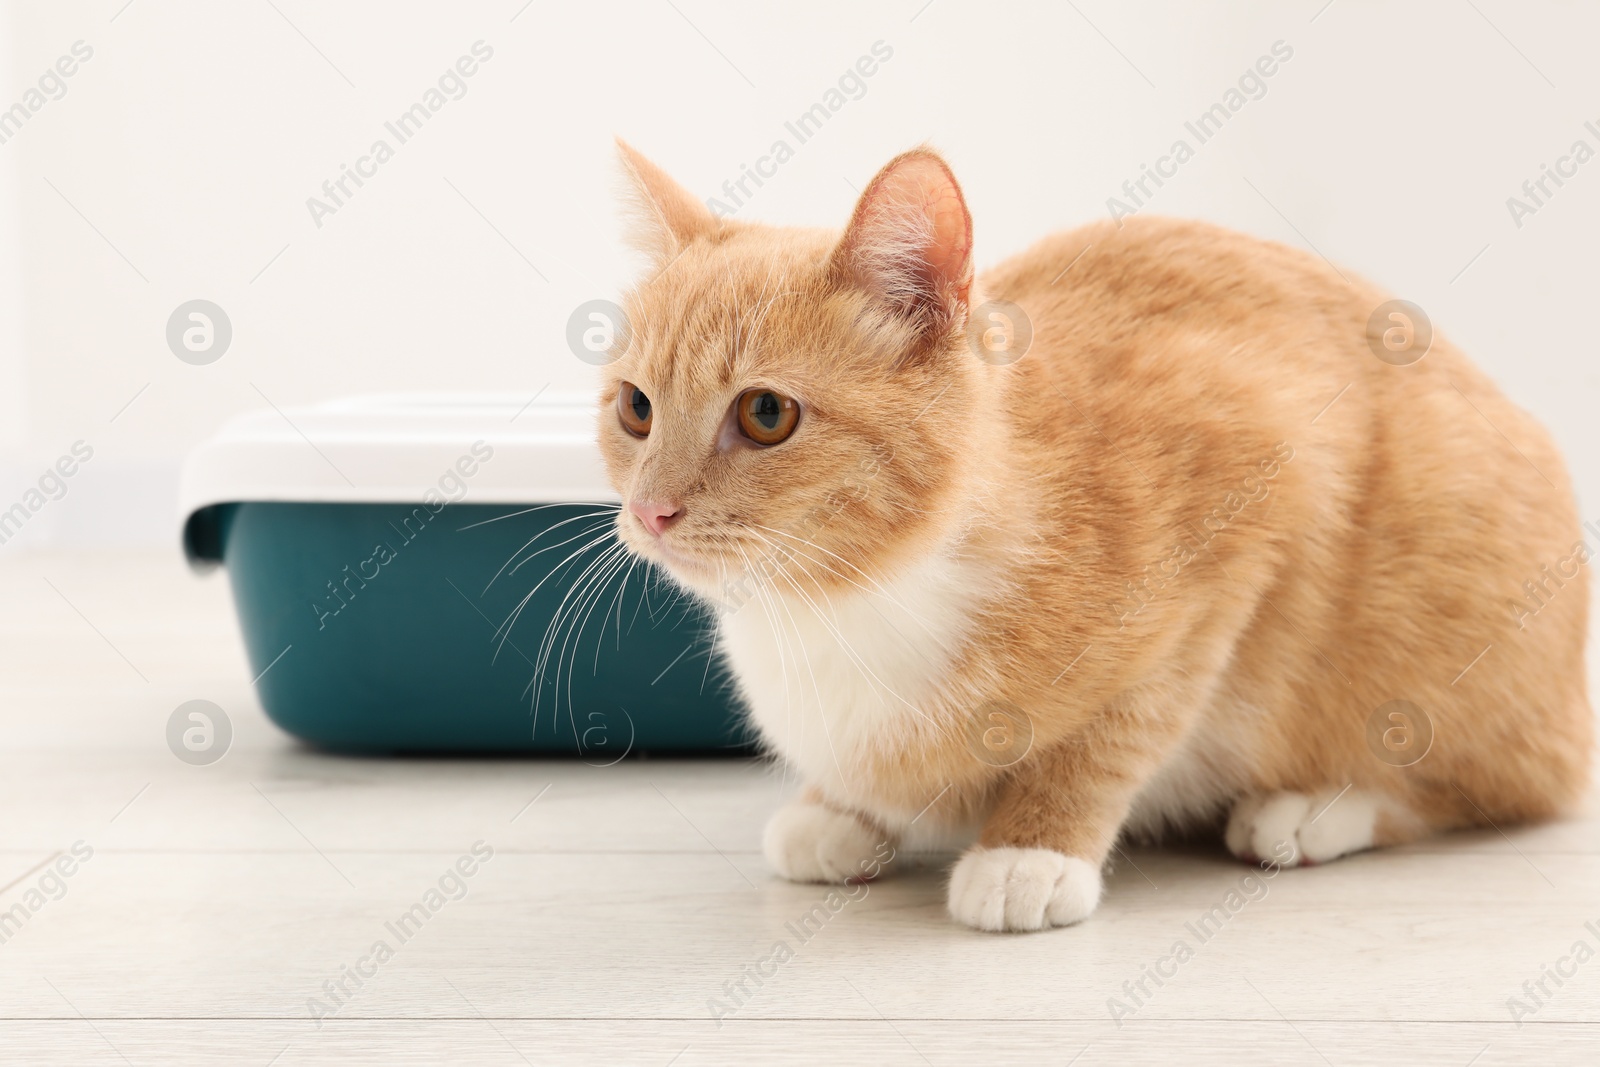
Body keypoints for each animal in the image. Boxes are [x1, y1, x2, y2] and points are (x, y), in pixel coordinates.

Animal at [598, 143, 1587, 934]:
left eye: (765, 414)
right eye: (636, 408)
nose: (651, 511)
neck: (850, 604)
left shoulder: (1254, 502)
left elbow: (1122, 726)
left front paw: (1031, 849)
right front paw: (838, 808)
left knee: (1504, 783)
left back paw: (1314, 808)